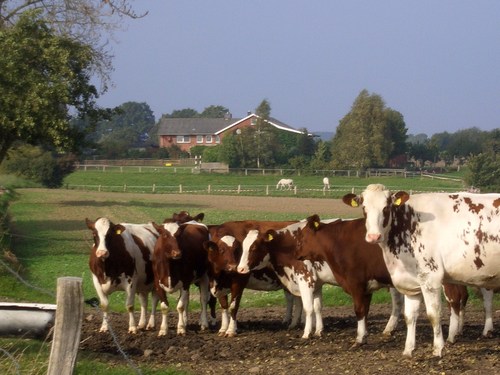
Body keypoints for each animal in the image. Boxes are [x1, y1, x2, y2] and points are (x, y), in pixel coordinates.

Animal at [342, 185, 500, 358]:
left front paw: (438, 348)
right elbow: (410, 316)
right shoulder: (411, 283)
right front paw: (408, 349)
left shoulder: (430, 278)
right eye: (364, 208)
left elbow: (433, 314)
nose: (373, 236)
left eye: (386, 208)